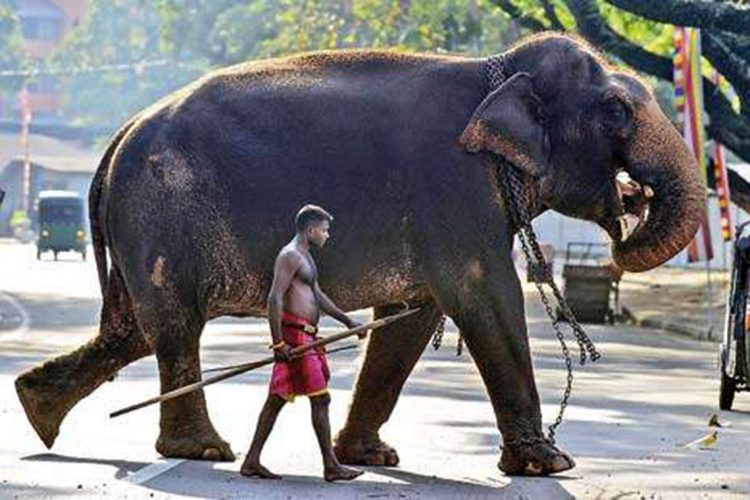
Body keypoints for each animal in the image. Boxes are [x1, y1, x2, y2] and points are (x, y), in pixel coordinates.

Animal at [15, 33, 704, 476]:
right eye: (615, 109)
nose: (631, 205)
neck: (496, 67)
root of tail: (120, 136)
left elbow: (415, 314)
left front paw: (371, 458)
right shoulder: (450, 187)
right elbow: (483, 294)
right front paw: (549, 463)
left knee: (133, 330)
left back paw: (36, 408)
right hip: (160, 216)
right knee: (174, 325)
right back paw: (203, 451)